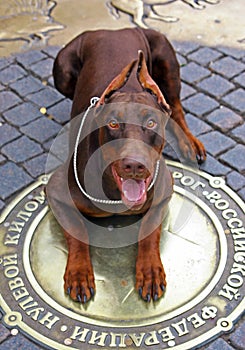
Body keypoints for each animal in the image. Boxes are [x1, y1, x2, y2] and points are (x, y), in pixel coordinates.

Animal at [46, 27, 207, 304]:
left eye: (151, 123)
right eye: (112, 123)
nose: (134, 165)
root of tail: (114, 29)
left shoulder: (164, 190)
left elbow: (149, 230)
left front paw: (150, 271)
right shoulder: (56, 191)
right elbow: (77, 230)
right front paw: (79, 273)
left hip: (165, 56)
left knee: (175, 105)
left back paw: (188, 142)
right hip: (62, 70)